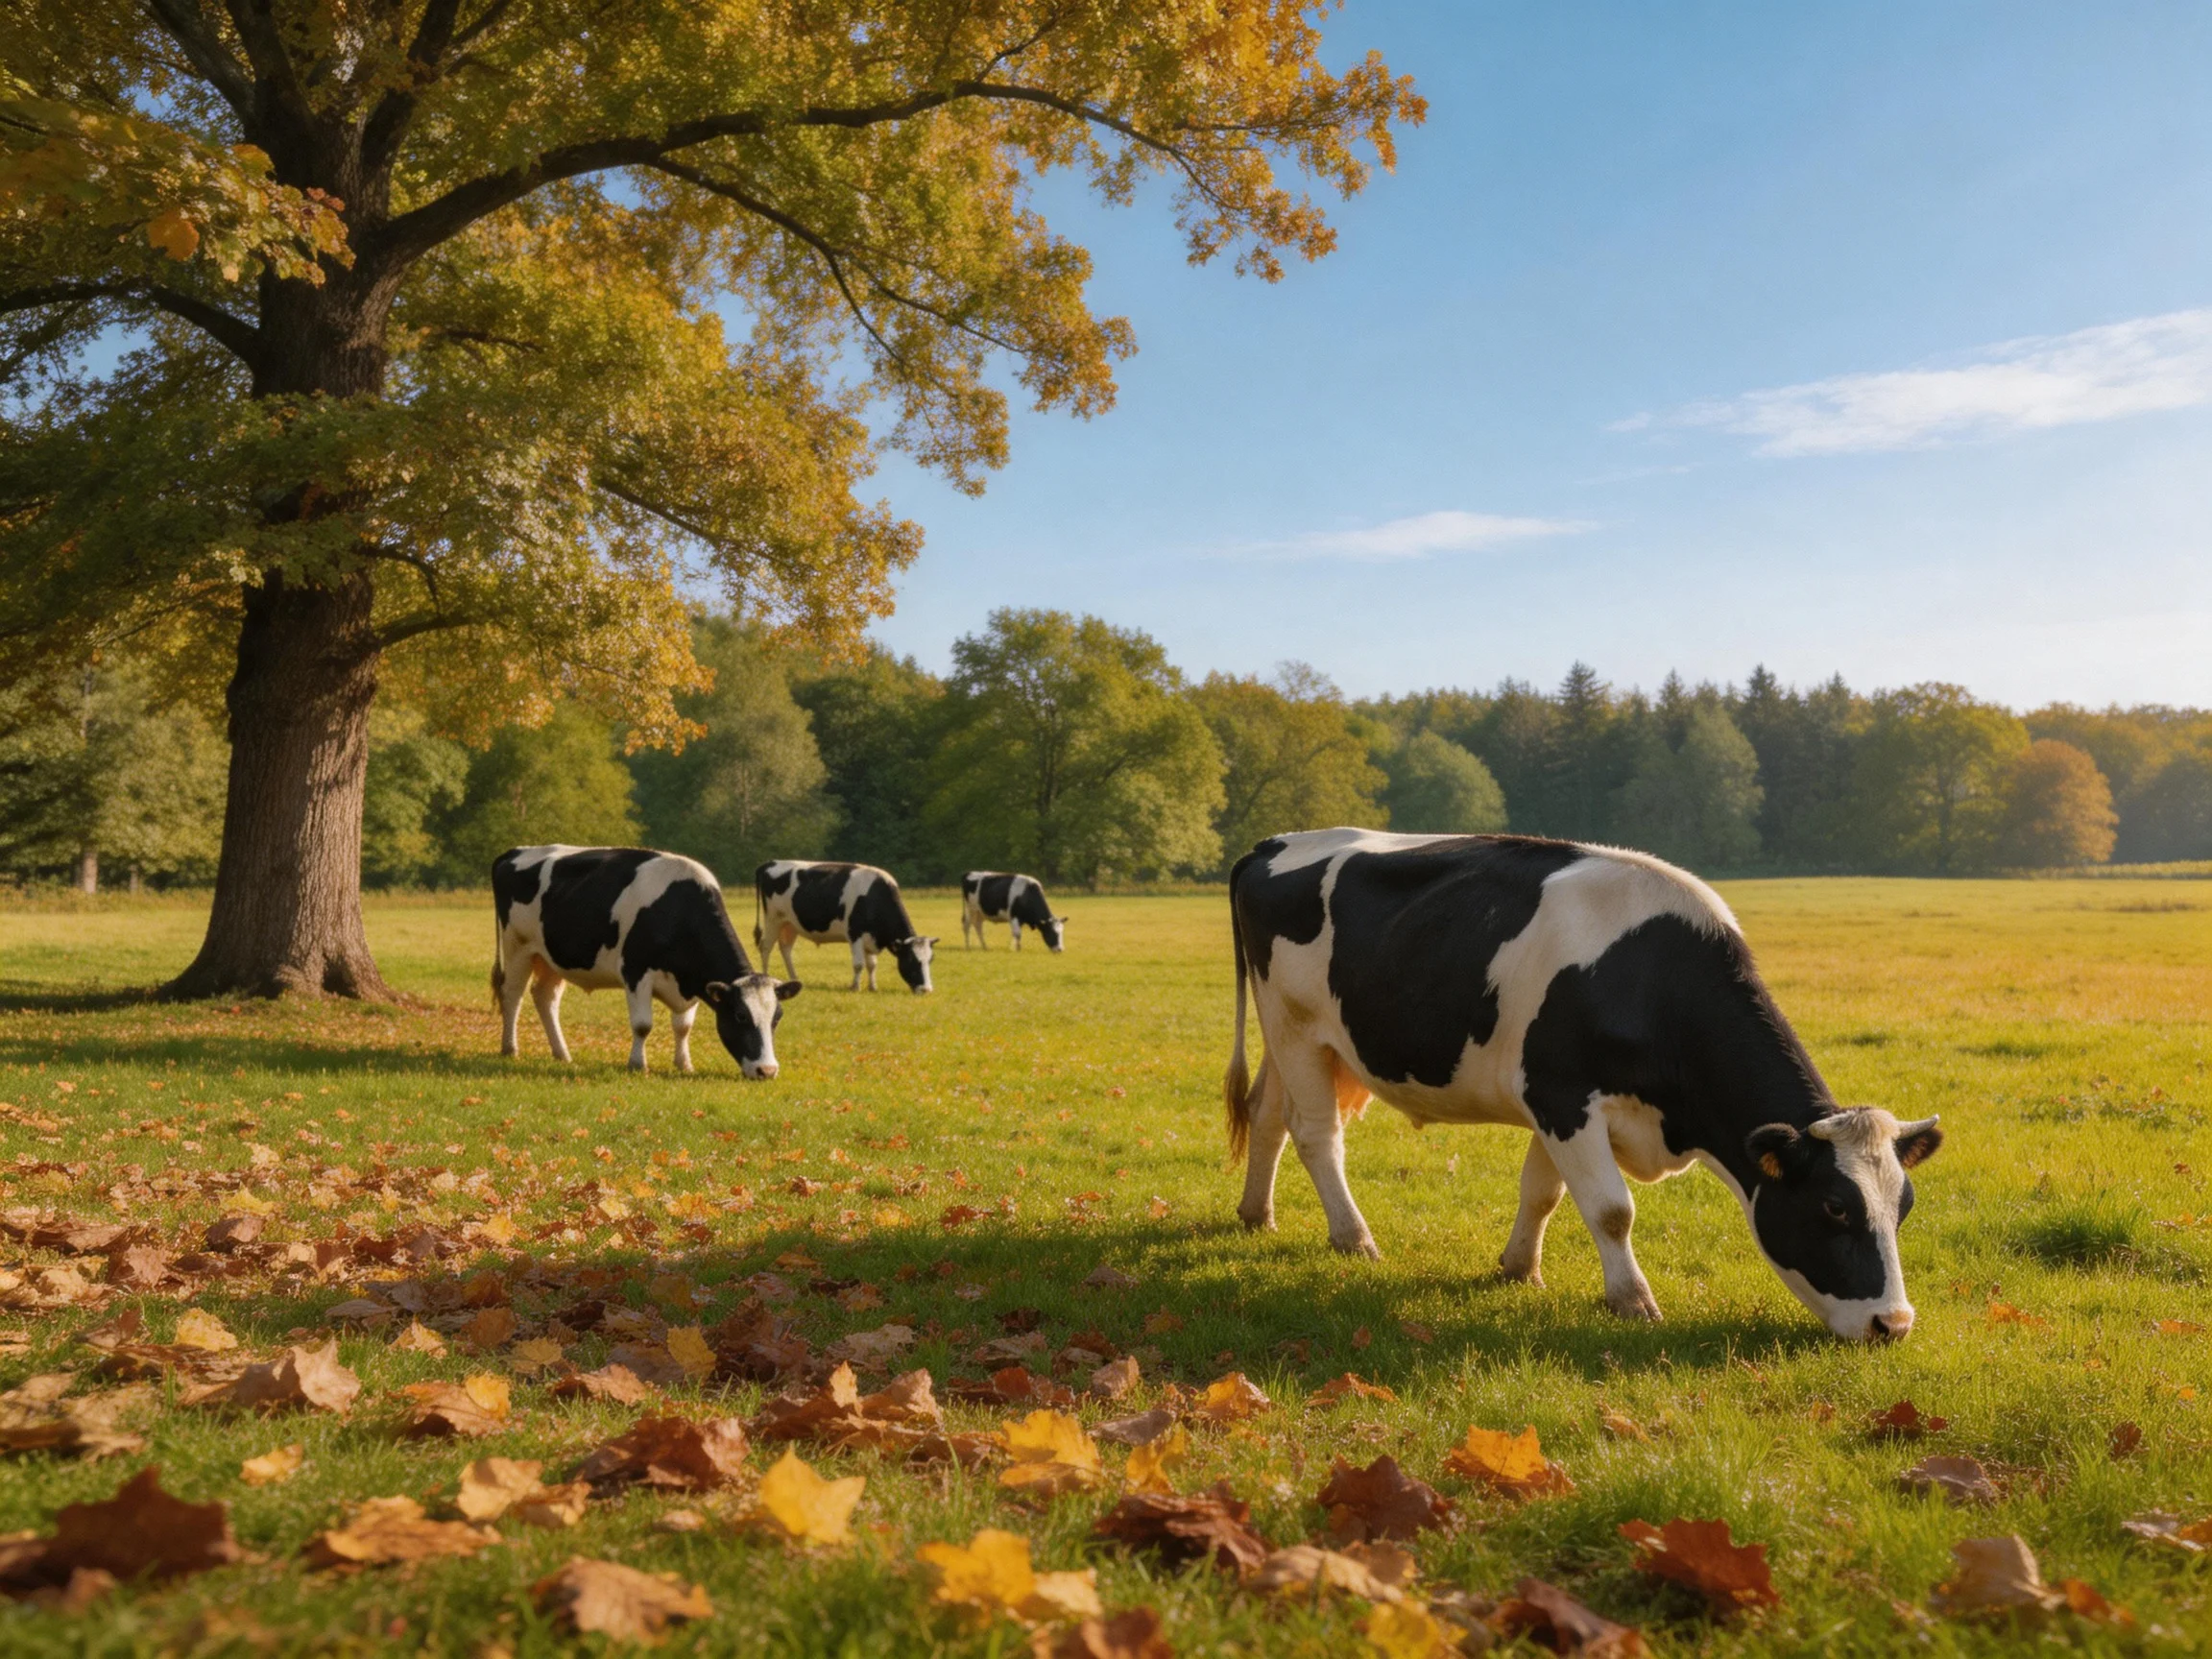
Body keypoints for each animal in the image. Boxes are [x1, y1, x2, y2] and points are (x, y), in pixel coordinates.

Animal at [492, 845, 798, 1078]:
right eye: (740, 1016)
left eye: (777, 1018)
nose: (767, 1071)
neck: (678, 910)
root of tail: (516, 851)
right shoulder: (635, 972)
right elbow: (643, 1025)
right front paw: (638, 1064)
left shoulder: (691, 981)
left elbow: (683, 1027)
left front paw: (684, 1064)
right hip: (518, 946)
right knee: (512, 994)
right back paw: (510, 1048)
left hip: (550, 958)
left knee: (545, 998)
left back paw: (562, 1053)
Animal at [754, 861, 937, 993]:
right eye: (911, 959)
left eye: (930, 960)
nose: (926, 990)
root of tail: (770, 863)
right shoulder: (855, 934)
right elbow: (859, 964)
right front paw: (855, 987)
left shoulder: (871, 937)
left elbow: (872, 965)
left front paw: (873, 987)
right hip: (773, 919)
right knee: (765, 947)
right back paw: (765, 976)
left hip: (790, 924)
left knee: (785, 949)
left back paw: (794, 977)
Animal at [1223, 829, 1942, 1341]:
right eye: (1835, 1207)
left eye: (1903, 1208)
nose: (1893, 1325)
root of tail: (1274, 843)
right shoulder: (1561, 1094)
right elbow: (1610, 1208)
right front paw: (1633, 1300)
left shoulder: (1553, 1103)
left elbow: (1543, 1193)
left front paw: (1519, 1268)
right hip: (1297, 1027)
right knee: (1317, 1135)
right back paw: (1353, 1238)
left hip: (1290, 1036)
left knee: (1266, 1114)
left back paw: (1257, 1214)